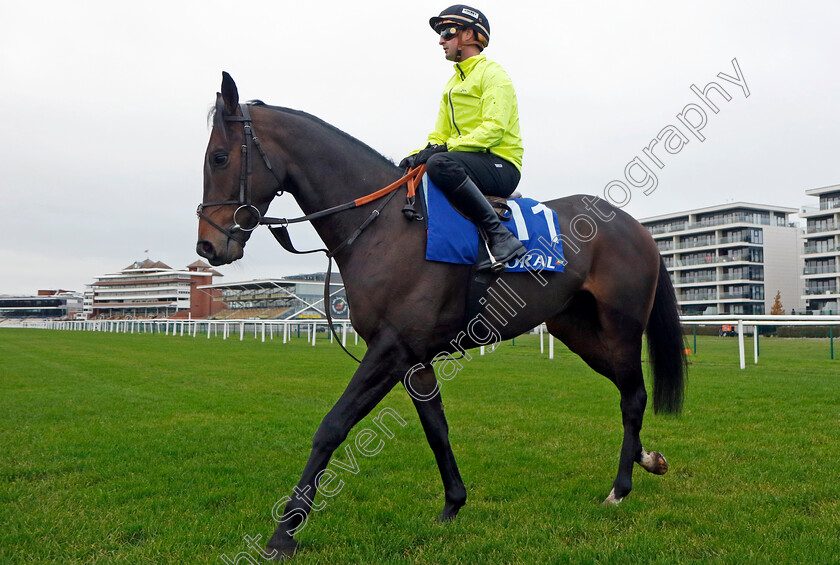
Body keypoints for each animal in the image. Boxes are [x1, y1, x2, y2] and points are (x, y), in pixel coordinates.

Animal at [199, 71, 688, 560]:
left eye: (219, 158)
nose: (208, 245)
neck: (384, 227)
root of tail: (636, 226)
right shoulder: (413, 358)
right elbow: (437, 429)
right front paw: (453, 504)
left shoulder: (391, 348)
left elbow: (332, 426)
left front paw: (284, 532)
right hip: (578, 331)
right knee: (628, 389)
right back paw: (648, 459)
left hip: (621, 327)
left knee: (633, 395)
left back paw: (620, 488)